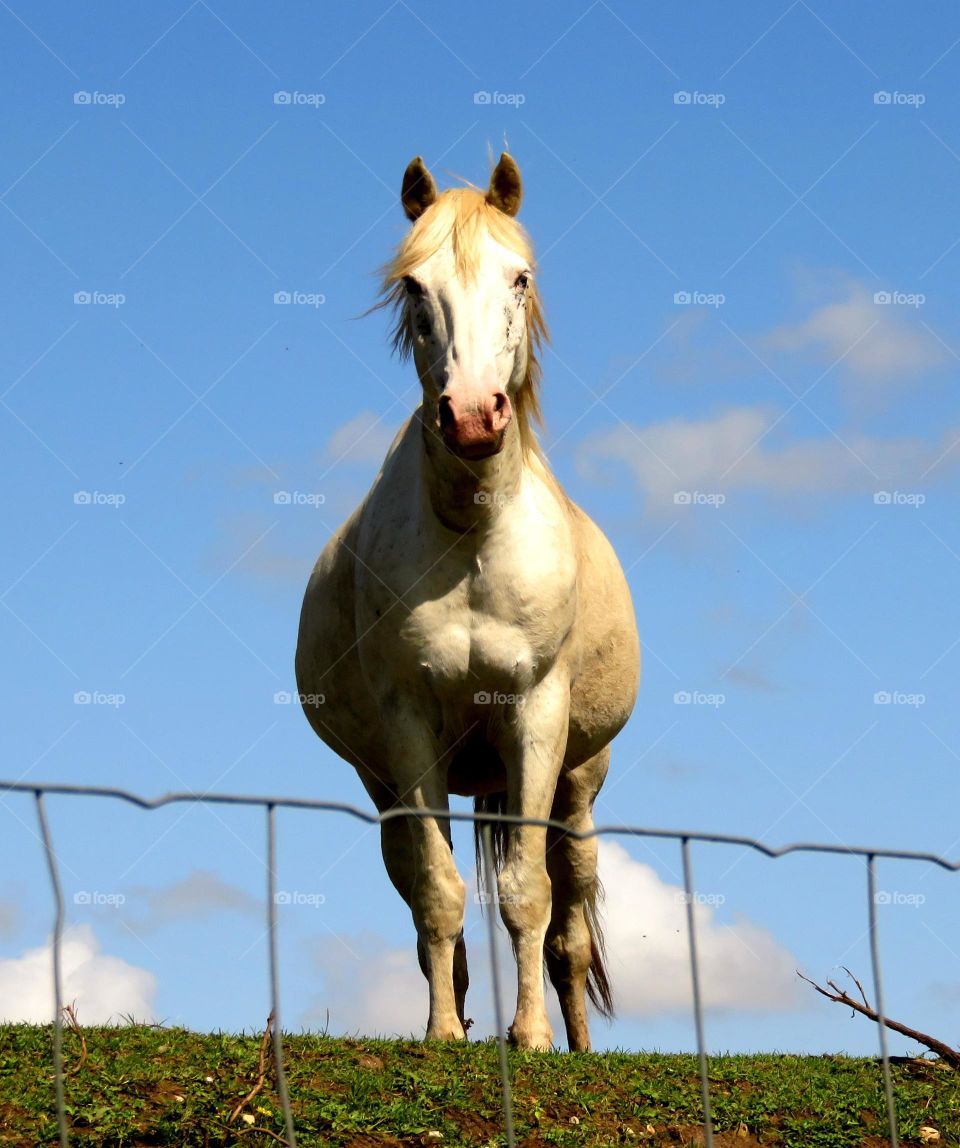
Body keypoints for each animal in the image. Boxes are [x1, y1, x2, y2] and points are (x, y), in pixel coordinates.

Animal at [292, 152, 638, 1051]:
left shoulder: (535, 717)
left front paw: (533, 1040)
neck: (474, 536)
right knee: (426, 892)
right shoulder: (408, 726)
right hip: (395, 785)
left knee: (570, 921)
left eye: (520, 278)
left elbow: (527, 893)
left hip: (578, 783)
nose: (475, 416)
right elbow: (440, 895)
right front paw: (448, 1035)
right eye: (416, 286)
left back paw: (577, 1043)